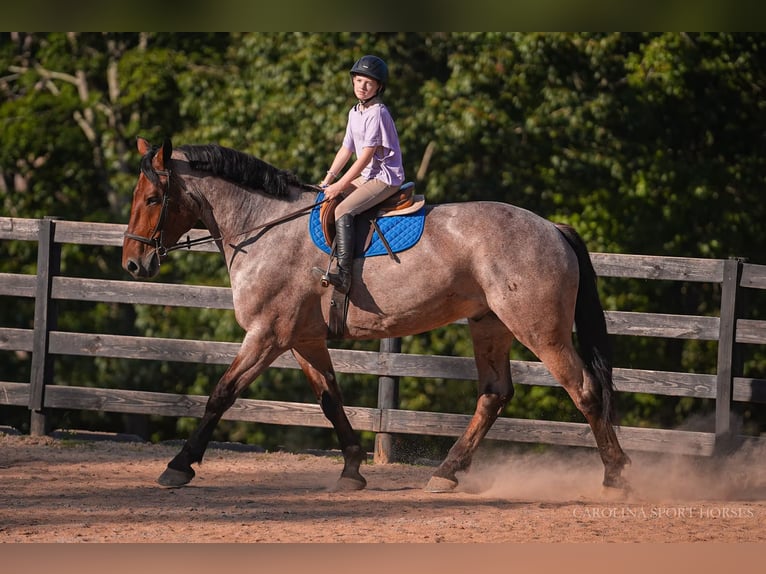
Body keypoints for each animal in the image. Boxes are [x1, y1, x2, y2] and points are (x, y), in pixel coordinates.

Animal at [122, 137, 631, 493]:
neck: (262, 227)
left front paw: (179, 466)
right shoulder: (303, 339)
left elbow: (221, 394)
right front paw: (351, 469)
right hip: (489, 325)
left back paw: (615, 476)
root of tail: (553, 228)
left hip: (539, 330)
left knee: (585, 391)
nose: (133, 264)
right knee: (494, 394)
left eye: (152, 199)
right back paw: (446, 472)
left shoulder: (268, 335)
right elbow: (329, 399)